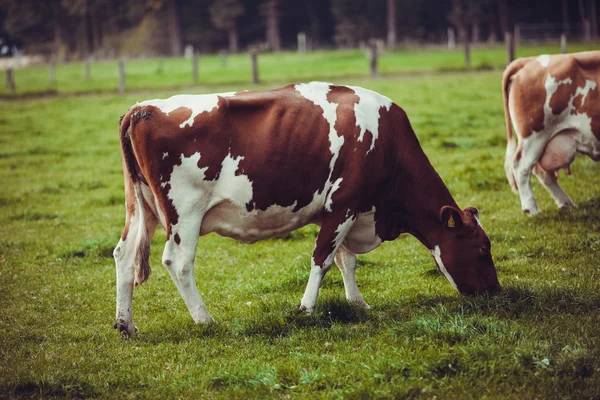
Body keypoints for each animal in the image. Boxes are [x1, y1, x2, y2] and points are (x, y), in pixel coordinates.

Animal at [113, 82, 502, 338]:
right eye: (483, 248)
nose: (497, 293)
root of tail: (142, 108)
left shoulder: (348, 210)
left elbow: (346, 260)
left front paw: (358, 303)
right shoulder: (344, 204)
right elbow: (323, 258)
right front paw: (307, 308)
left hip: (142, 207)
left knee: (124, 253)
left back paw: (126, 324)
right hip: (185, 212)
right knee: (178, 262)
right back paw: (205, 320)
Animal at [502, 50, 600, 216]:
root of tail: (528, 61)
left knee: (540, 171)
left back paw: (566, 203)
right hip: (534, 135)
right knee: (522, 166)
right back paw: (531, 209)